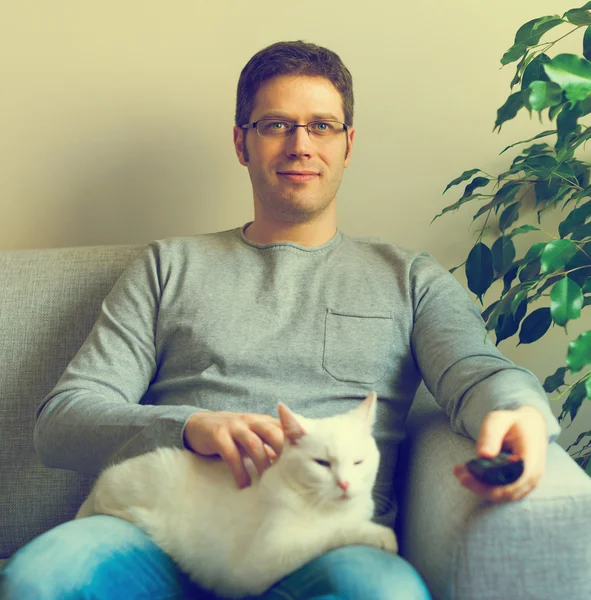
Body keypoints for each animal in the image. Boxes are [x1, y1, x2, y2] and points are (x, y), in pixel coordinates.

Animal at [74, 392, 398, 596]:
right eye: (322, 463)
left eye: (358, 462)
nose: (344, 484)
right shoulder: (264, 559)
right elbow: (331, 532)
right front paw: (379, 534)